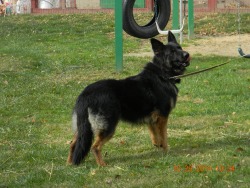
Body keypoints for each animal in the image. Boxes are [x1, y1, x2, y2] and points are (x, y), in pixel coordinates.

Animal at [67, 31, 190, 166]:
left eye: (180, 48)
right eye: (172, 52)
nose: (187, 54)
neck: (162, 73)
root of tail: (86, 94)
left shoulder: (151, 119)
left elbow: (155, 135)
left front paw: (158, 146)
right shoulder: (163, 116)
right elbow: (164, 136)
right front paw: (167, 152)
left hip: (83, 127)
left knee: (73, 144)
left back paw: (70, 164)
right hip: (108, 126)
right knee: (95, 147)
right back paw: (102, 165)